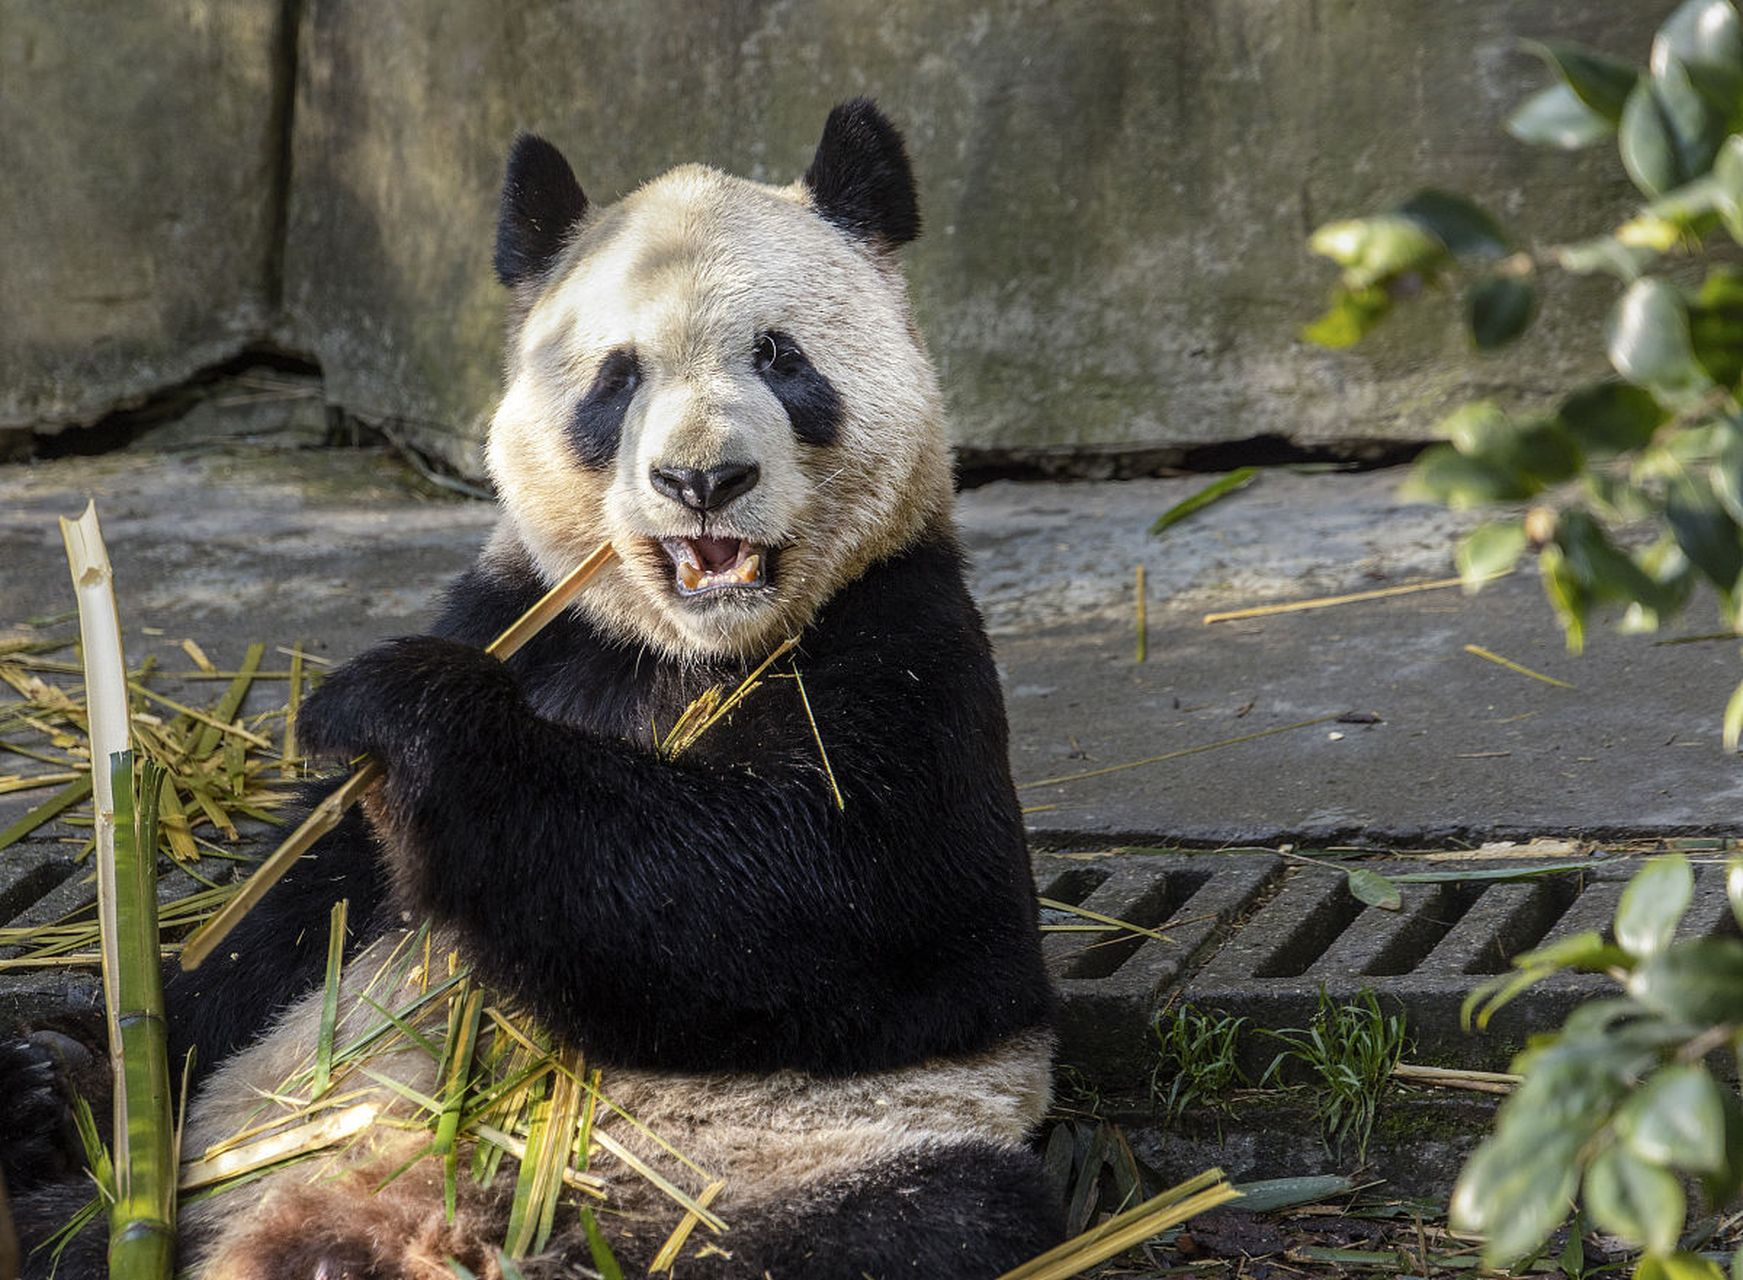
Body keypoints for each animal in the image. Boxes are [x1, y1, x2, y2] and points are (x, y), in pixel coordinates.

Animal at [0, 100, 1059, 1280]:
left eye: (781, 358)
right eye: (616, 378)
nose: (702, 481)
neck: (687, 651)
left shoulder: (907, 643)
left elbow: (834, 892)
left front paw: (410, 712)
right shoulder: (524, 616)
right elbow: (288, 917)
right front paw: (77, 1073)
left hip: (777, 1177)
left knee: (922, 1219)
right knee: (70, 1224)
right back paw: (44, 1095)